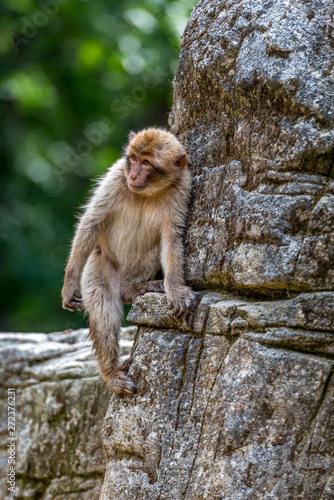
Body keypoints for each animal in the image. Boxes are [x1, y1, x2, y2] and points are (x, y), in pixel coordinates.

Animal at [61, 127, 194, 396]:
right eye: (133, 158)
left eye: (147, 163)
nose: (133, 174)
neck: (148, 192)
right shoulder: (115, 178)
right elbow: (91, 223)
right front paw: (69, 284)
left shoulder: (182, 187)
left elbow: (171, 237)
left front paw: (175, 288)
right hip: (99, 264)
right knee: (103, 302)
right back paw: (112, 373)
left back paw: (135, 289)